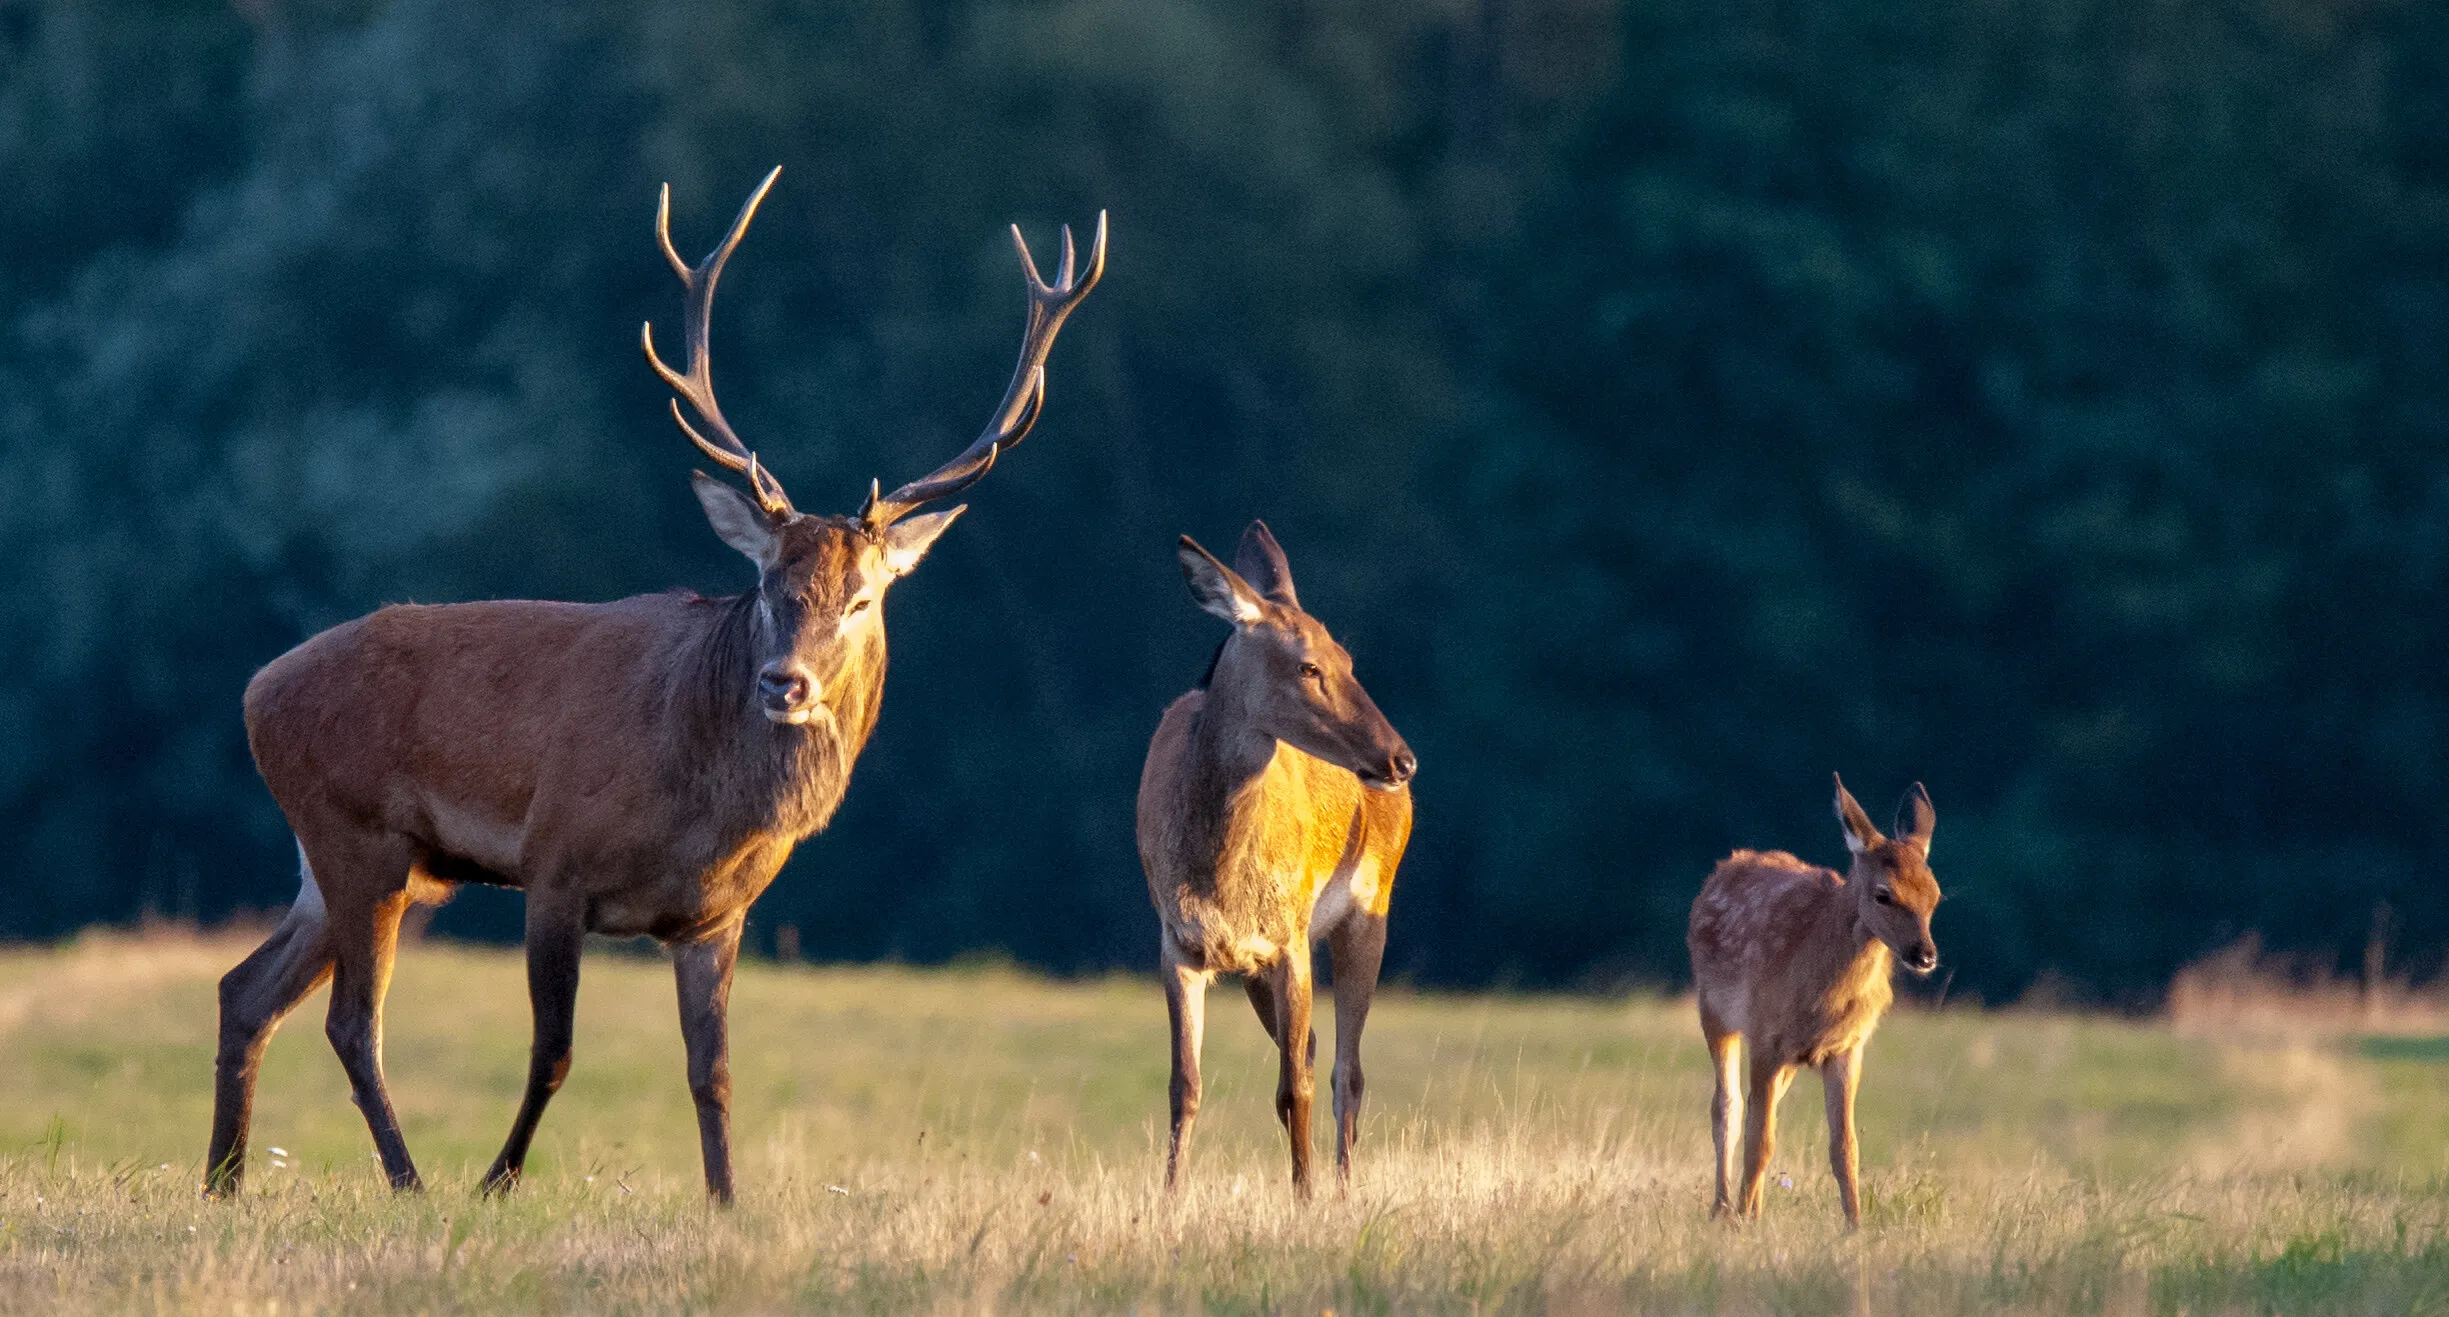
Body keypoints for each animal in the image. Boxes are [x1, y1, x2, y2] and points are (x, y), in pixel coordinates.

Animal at [202, 167, 1103, 1204]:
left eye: (862, 595)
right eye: (768, 581)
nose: (785, 682)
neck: (702, 807)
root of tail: (256, 691)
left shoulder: (717, 917)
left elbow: (712, 1070)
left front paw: (726, 1199)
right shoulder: (555, 864)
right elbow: (553, 1050)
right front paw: (497, 1182)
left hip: (354, 862)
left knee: (245, 988)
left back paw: (223, 1181)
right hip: (359, 838)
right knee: (351, 1021)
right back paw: (408, 1180)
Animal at [1137, 523, 1417, 1197]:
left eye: (1348, 661)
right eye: (1308, 665)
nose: (1402, 759)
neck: (1218, 873)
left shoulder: (1290, 937)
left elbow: (1297, 1087)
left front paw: (1306, 1199)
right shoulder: (1179, 944)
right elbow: (1184, 1087)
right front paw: (1167, 1200)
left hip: (1370, 908)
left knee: (1346, 1072)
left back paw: (1340, 1188)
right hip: (1256, 970)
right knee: (1314, 1053)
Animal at [1686, 774, 1941, 1228]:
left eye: (1935, 895)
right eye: (1883, 894)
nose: (1925, 955)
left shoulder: (1847, 1047)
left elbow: (1845, 1147)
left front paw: (1855, 1227)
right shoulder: (1764, 1034)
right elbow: (1758, 1140)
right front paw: (1743, 1223)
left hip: (1788, 1054)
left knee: (1758, 1108)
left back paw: (1749, 1207)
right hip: (1713, 1011)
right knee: (1728, 1108)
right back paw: (1723, 1208)